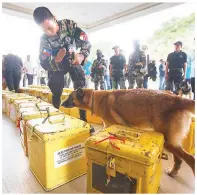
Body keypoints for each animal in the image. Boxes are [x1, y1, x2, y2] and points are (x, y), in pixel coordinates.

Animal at [62, 88, 195, 177]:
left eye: (70, 97)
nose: (61, 103)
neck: (93, 98)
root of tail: (177, 98)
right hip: (170, 142)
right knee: (179, 159)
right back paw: (173, 171)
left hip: (167, 142)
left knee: (189, 158)